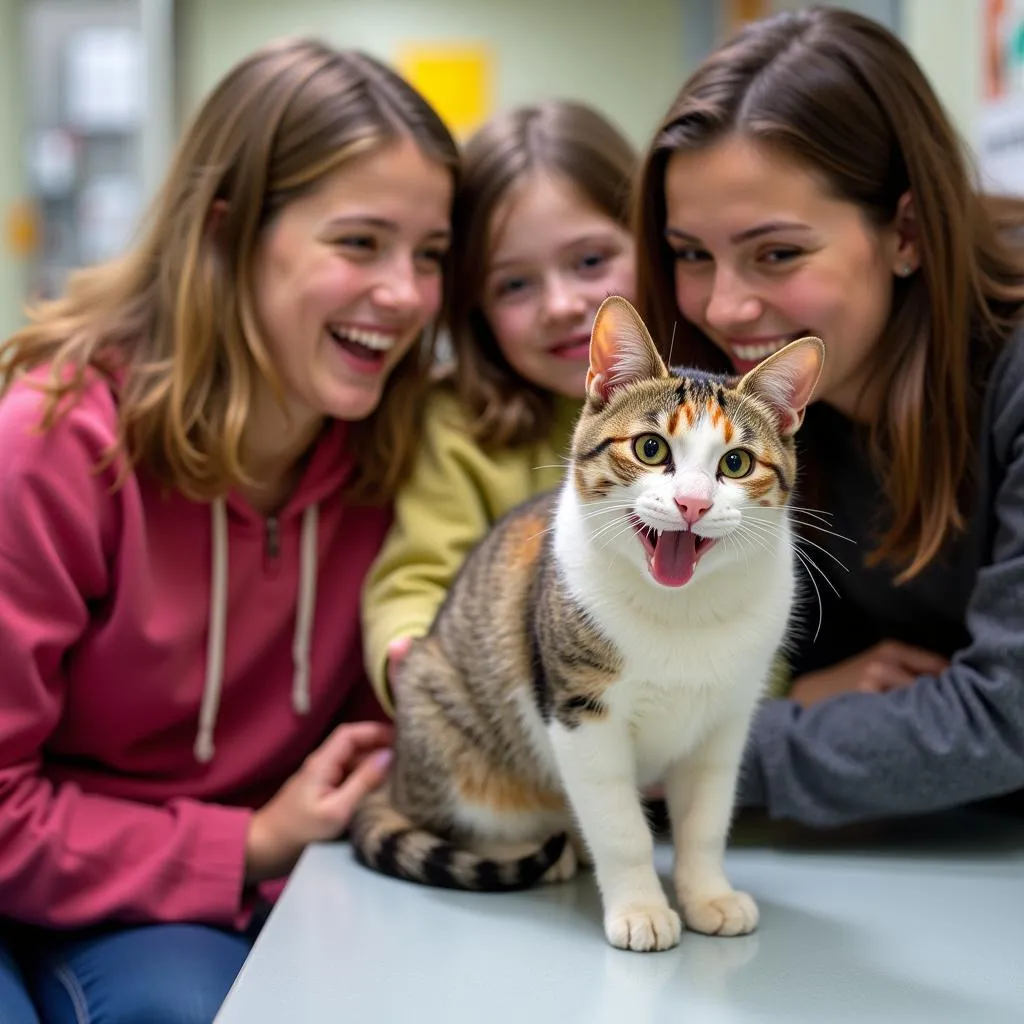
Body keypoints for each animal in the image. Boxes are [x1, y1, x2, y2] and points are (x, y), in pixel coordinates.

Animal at [352, 294, 823, 950]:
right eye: (651, 449)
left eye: (735, 463)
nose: (693, 503)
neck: (682, 609)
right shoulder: (580, 712)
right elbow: (620, 826)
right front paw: (641, 908)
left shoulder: (726, 720)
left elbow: (705, 820)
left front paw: (708, 895)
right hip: (446, 725)